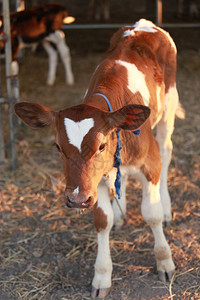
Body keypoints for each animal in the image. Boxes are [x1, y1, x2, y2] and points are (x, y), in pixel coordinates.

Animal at [14, 19, 185, 300]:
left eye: (101, 145)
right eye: (58, 146)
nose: (76, 199)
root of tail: (143, 24)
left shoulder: (149, 164)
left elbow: (152, 213)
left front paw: (164, 262)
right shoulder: (94, 183)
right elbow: (102, 220)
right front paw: (102, 276)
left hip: (168, 110)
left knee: (167, 150)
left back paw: (167, 206)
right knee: (120, 179)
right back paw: (121, 211)